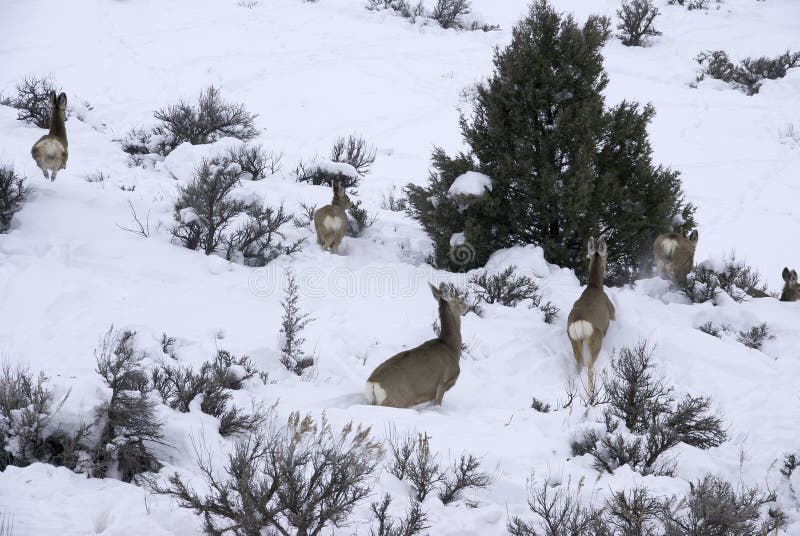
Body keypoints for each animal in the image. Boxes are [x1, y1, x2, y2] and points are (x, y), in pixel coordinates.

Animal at [567, 237, 615, 393]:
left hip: (574, 340)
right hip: (595, 340)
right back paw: (591, 393)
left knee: (579, 363)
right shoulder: (612, 313)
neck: (595, 287)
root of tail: (579, 321)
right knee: (589, 365)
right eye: (606, 255)